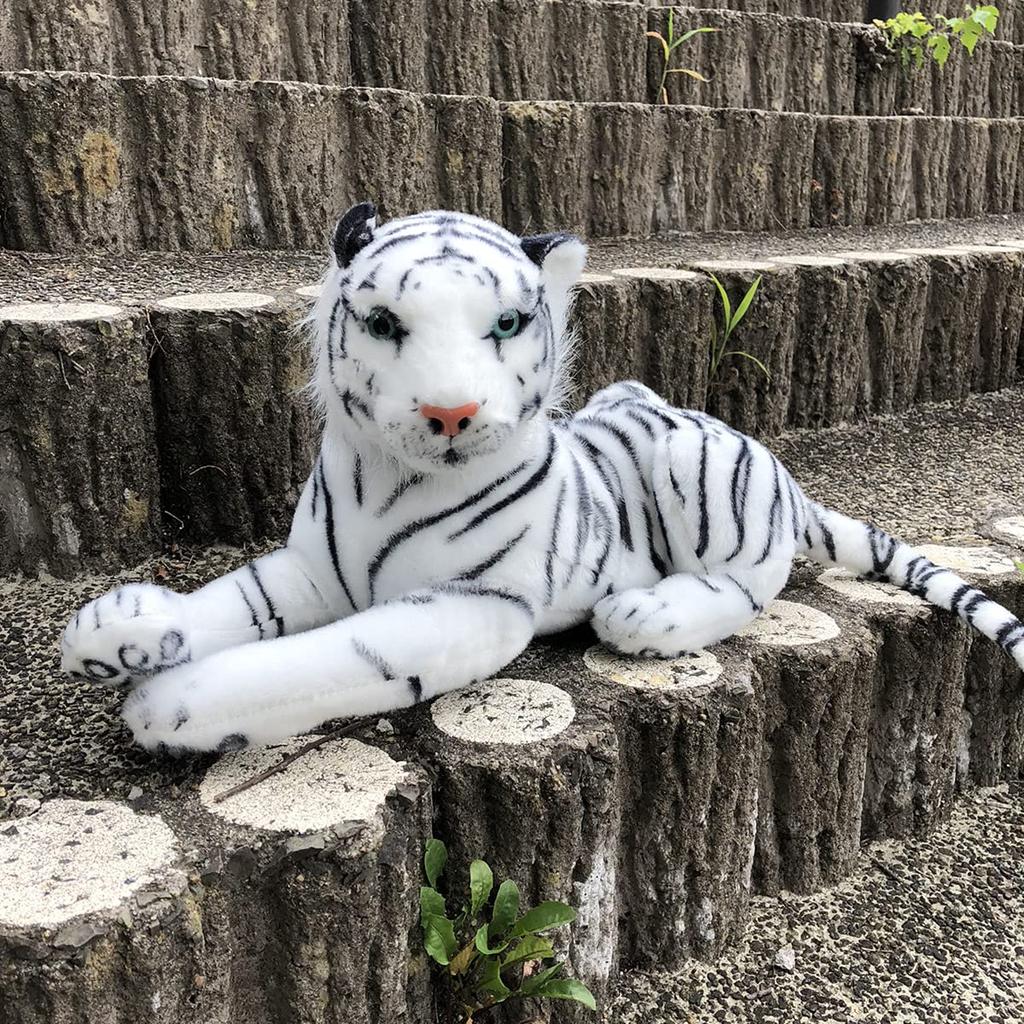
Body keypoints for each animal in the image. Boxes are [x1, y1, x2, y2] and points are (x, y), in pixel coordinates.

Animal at [59, 204, 1024, 755]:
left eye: (507, 324)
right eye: (384, 323)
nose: (451, 414)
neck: (385, 480)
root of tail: (779, 471)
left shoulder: (473, 608)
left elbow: (329, 655)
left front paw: (171, 703)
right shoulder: (310, 568)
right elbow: (237, 597)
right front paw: (120, 630)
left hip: (697, 468)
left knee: (751, 583)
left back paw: (649, 616)